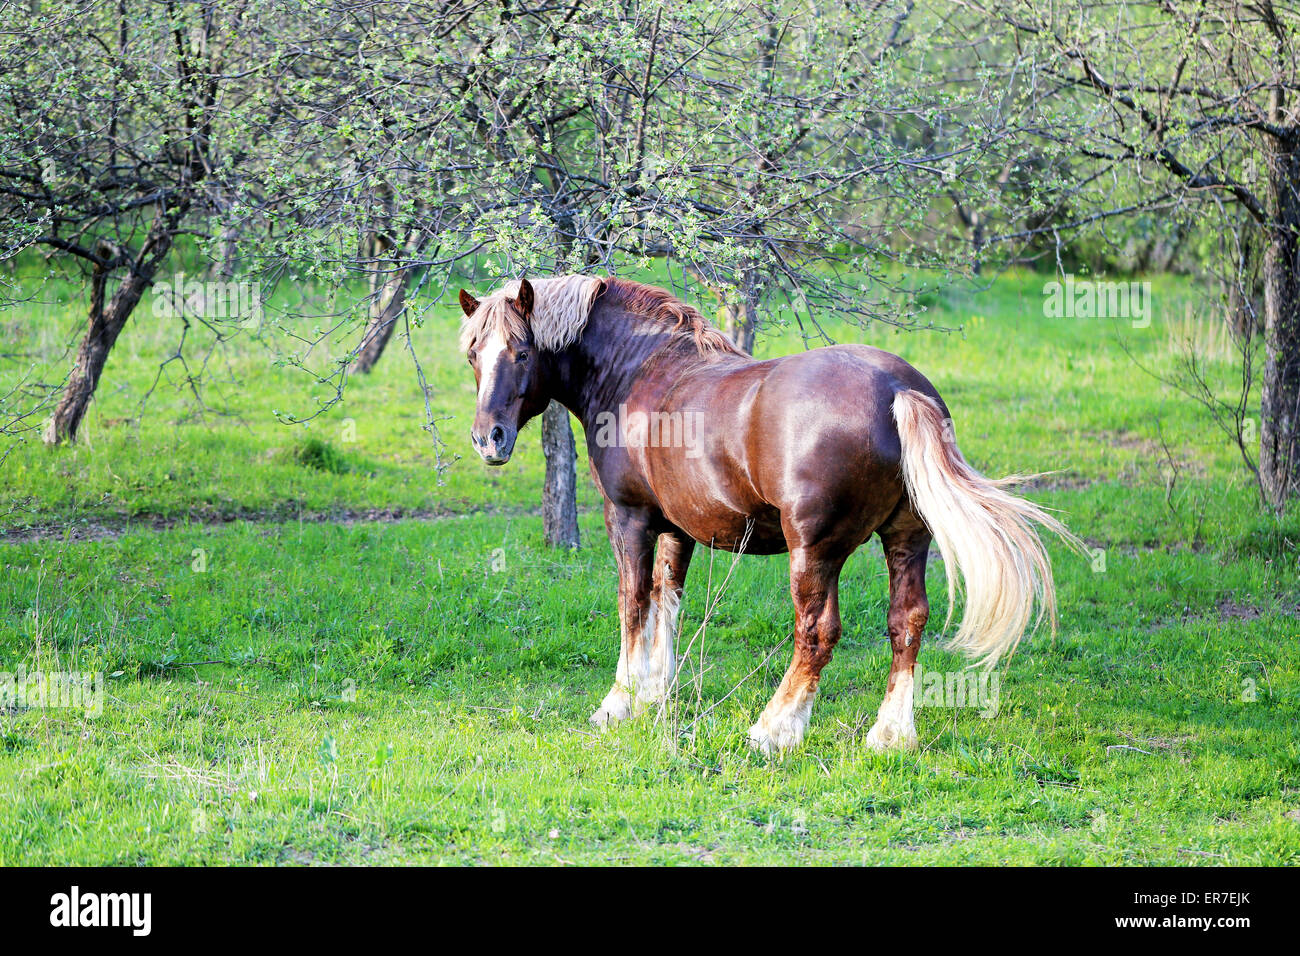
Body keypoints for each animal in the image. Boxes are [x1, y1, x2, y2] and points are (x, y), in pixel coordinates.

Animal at [457, 274, 1080, 754]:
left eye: (521, 352)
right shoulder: (679, 527)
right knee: (907, 621)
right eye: (472, 355)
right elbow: (668, 600)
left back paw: (774, 729)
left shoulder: (630, 518)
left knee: (817, 633)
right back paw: (889, 735)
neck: (642, 373)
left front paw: (619, 703)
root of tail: (898, 390)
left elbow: (633, 604)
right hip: (906, 538)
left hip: (814, 550)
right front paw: (657, 693)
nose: (489, 439)